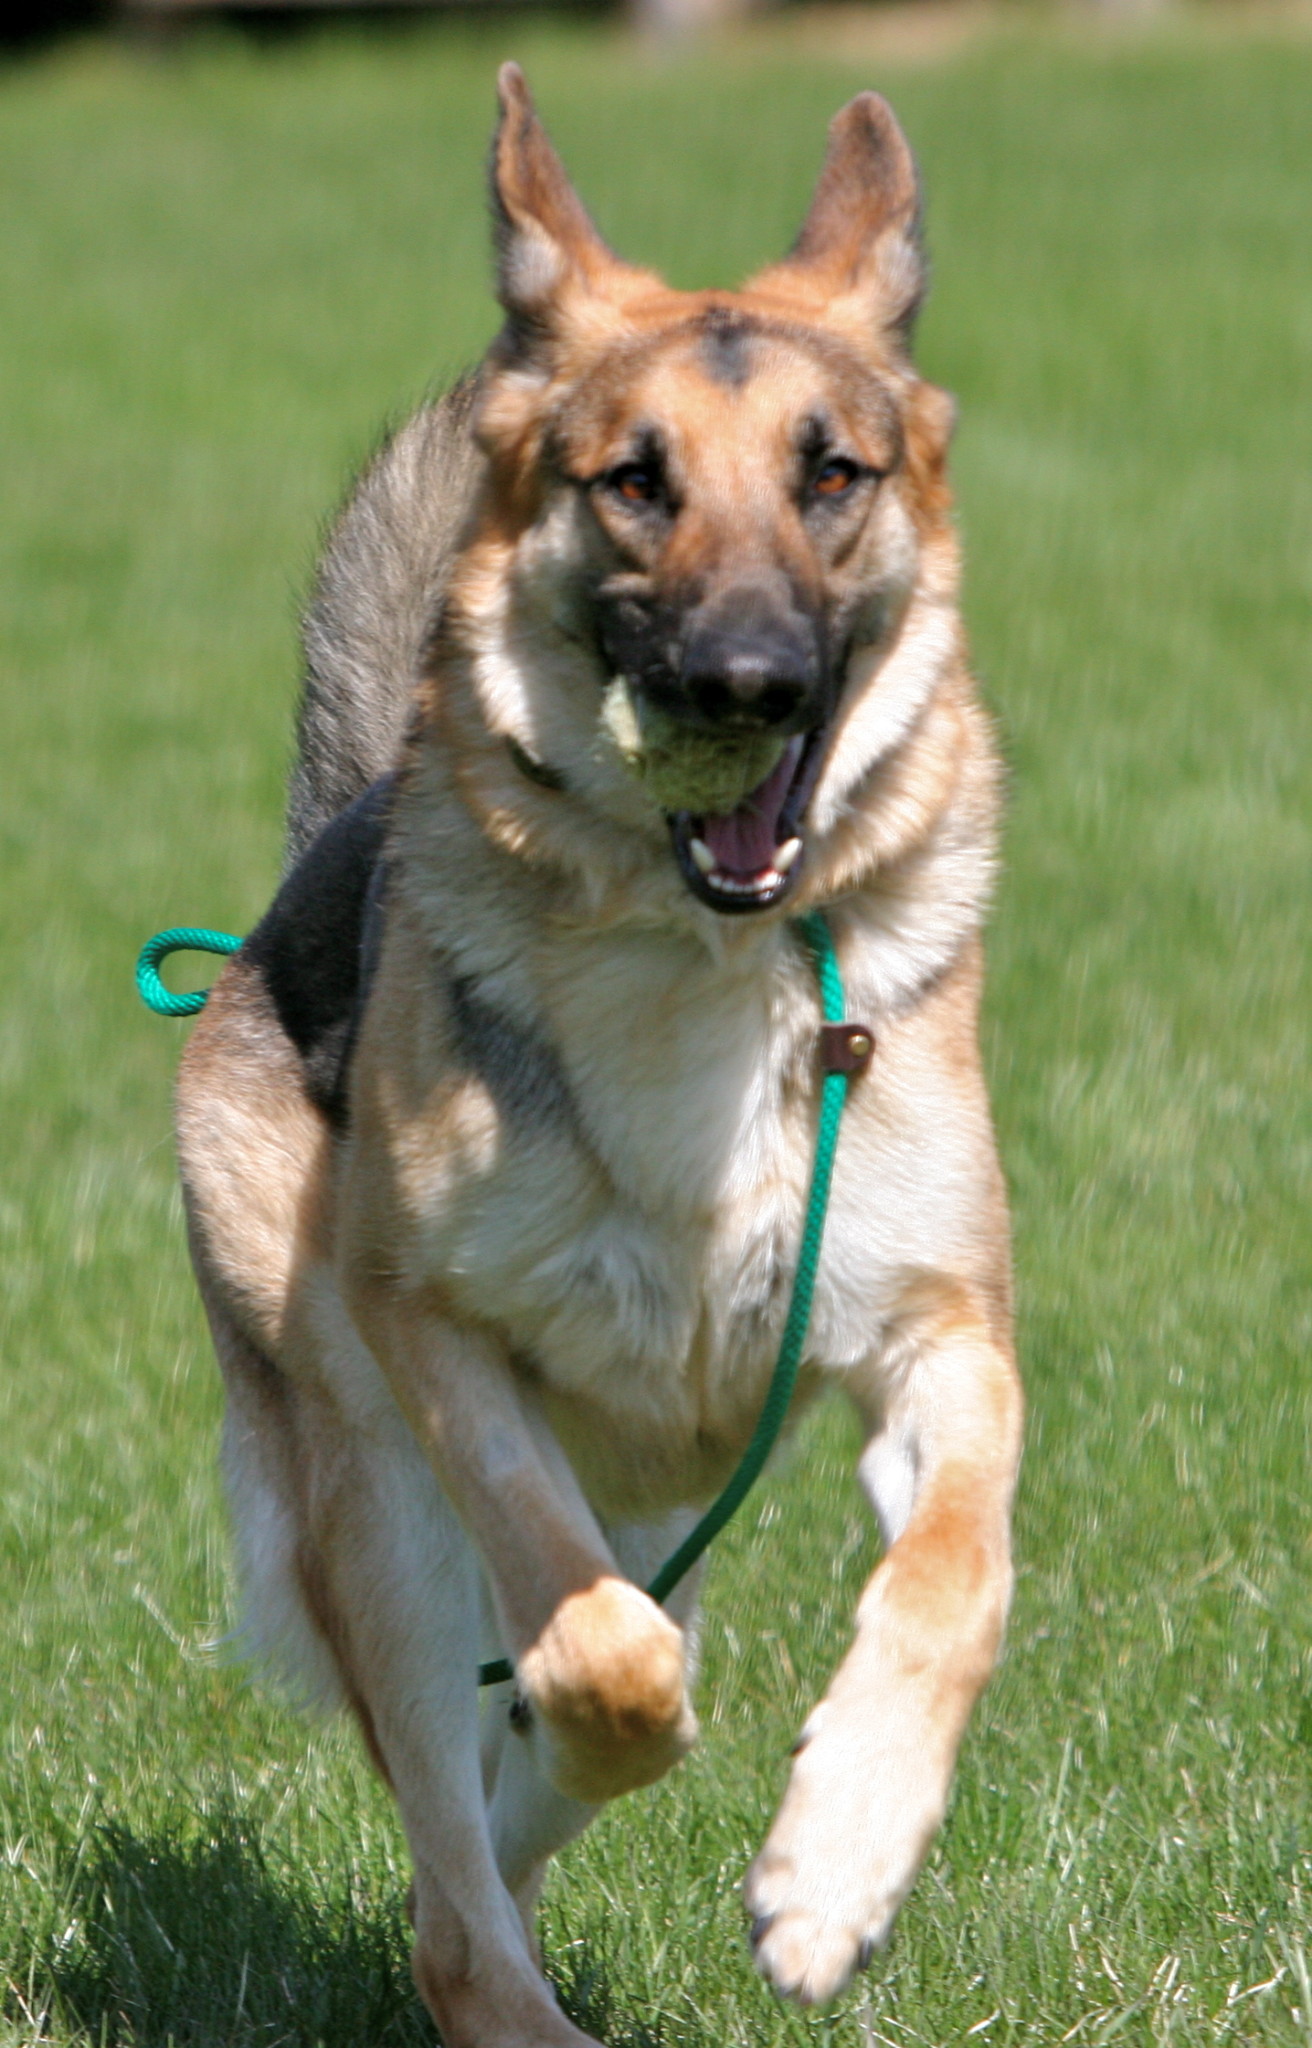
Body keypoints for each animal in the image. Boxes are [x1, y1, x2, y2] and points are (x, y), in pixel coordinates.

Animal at [168, 64, 1019, 2048]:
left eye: (831, 474)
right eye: (633, 481)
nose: (747, 682)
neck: (692, 971)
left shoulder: (940, 1335)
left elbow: (956, 1577)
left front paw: (832, 1872)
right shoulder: (436, 1338)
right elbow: (597, 1657)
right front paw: (614, 1740)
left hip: (659, 1504)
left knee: (512, 1789)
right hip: (372, 1480)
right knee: (457, 1896)